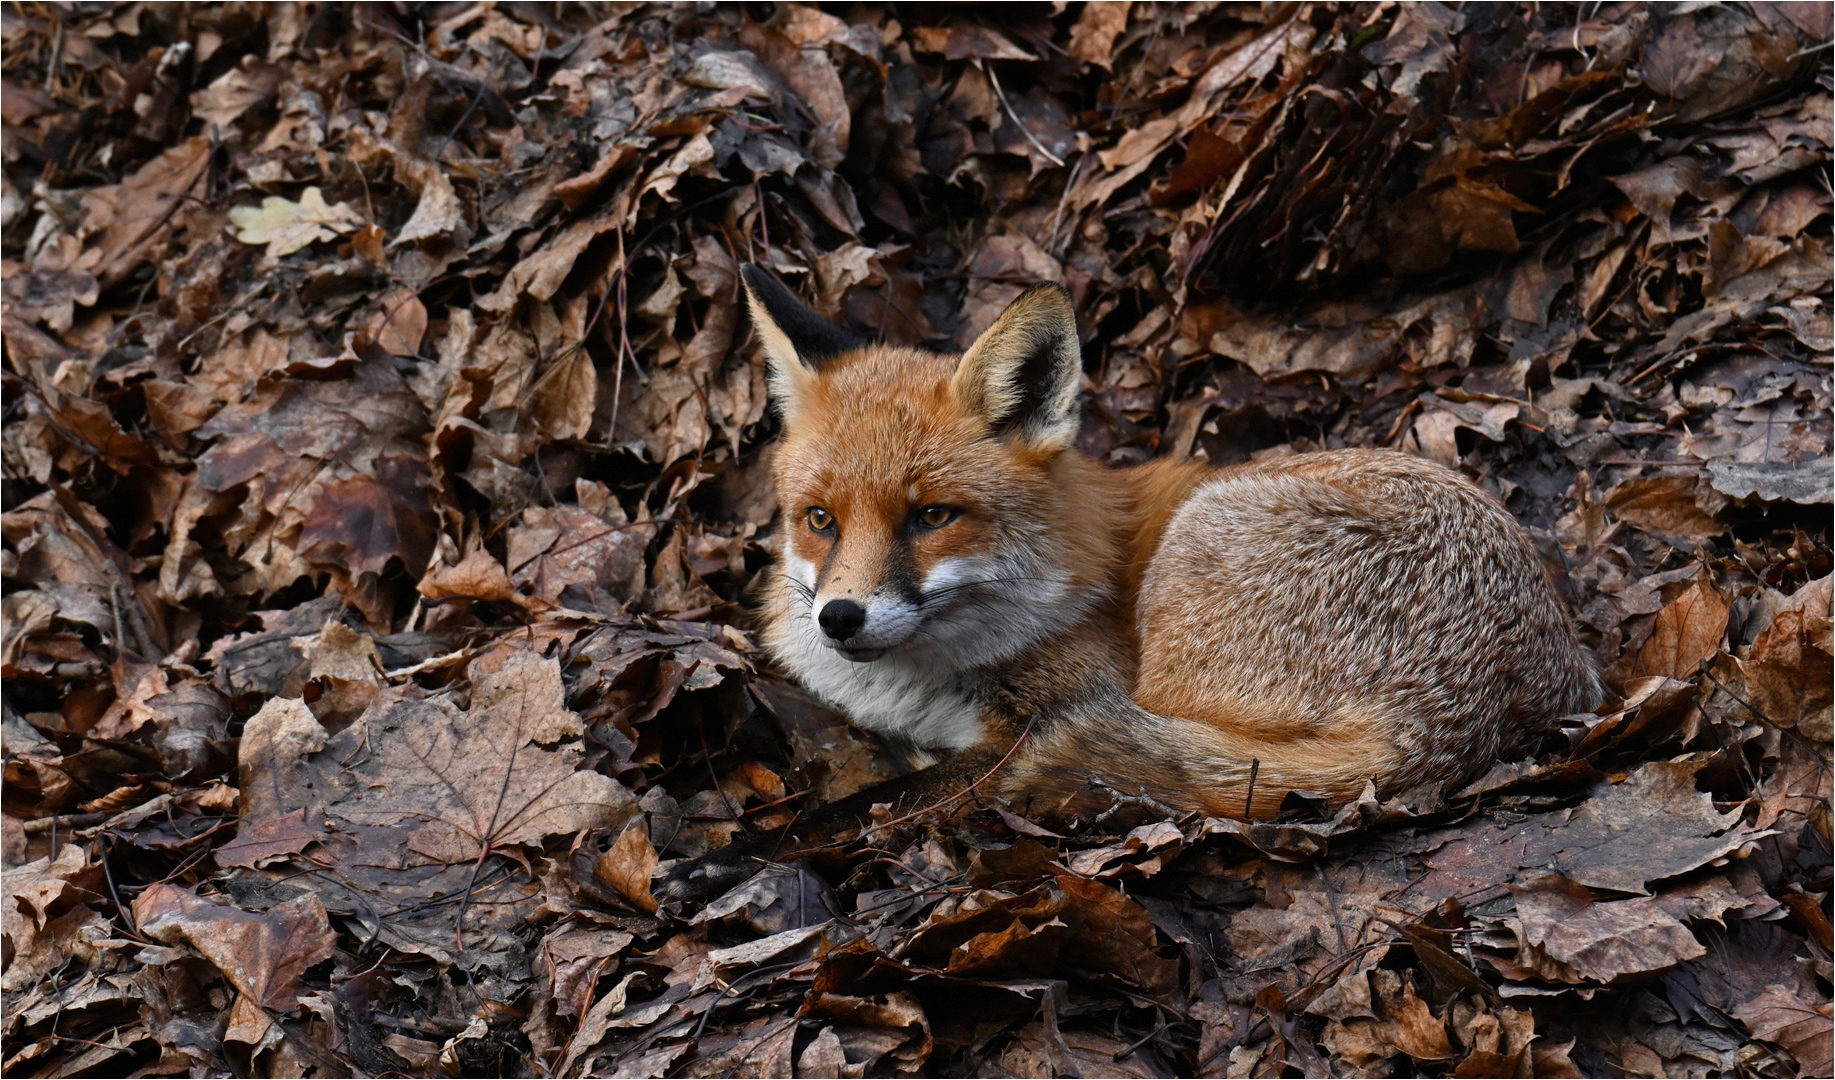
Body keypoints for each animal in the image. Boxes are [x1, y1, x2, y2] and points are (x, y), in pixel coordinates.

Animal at [656, 267, 1592, 902]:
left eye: (930, 517)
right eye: (819, 519)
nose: (840, 618)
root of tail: (1463, 724)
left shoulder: (1037, 720)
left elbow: (861, 806)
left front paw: (727, 859)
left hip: (1191, 565)